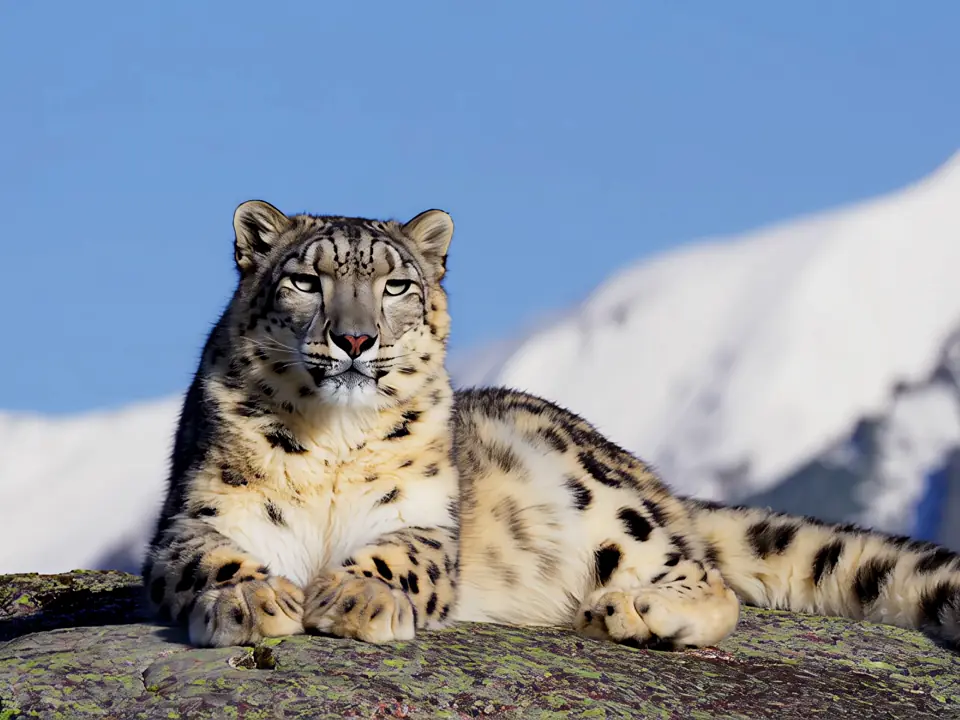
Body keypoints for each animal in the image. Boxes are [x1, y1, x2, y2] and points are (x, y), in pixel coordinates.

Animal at [142, 199, 960, 651]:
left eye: (397, 284)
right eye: (305, 280)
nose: (354, 337)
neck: (332, 443)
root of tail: (652, 478)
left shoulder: (425, 520)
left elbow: (402, 555)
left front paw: (357, 597)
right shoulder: (195, 515)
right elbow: (207, 557)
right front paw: (251, 601)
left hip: (597, 497)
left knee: (707, 574)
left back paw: (635, 609)